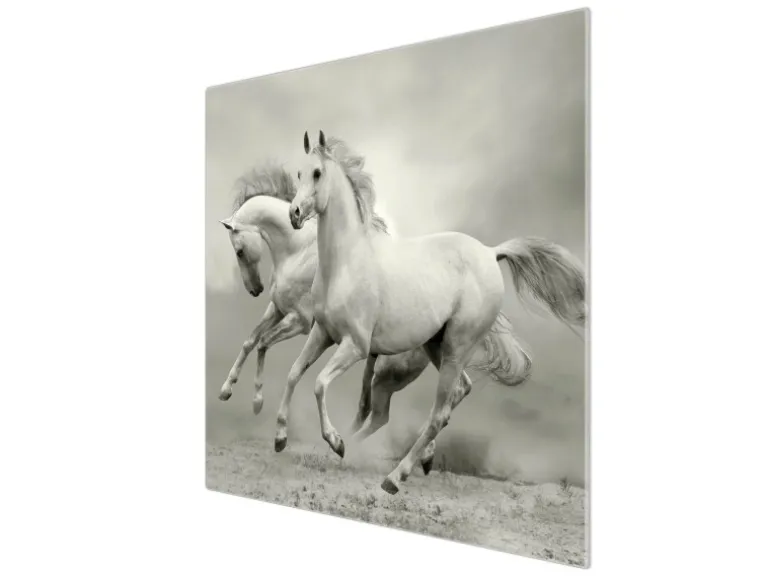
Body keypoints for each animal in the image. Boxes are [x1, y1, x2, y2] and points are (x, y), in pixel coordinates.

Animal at [217, 162, 532, 470]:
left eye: (240, 251)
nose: (255, 289)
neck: (300, 250)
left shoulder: (301, 321)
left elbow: (264, 344)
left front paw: (257, 401)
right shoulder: (279, 310)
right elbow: (251, 342)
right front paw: (227, 391)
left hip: (391, 372)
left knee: (398, 410)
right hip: (431, 355)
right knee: (452, 393)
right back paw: (421, 456)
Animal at [288, 131, 585, 494]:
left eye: (317, 173)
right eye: (299, 173)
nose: (294, 213)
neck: (347, 262)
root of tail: (491, 252)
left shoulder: (355, 346)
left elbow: (318, 383)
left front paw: (336, 442)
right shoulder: (322, 333)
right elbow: (294, 374)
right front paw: (280, 437)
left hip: (456, 348)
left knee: (439, 413)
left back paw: (394, 477)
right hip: (435, 346)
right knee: (456, 393)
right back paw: (409, 460)